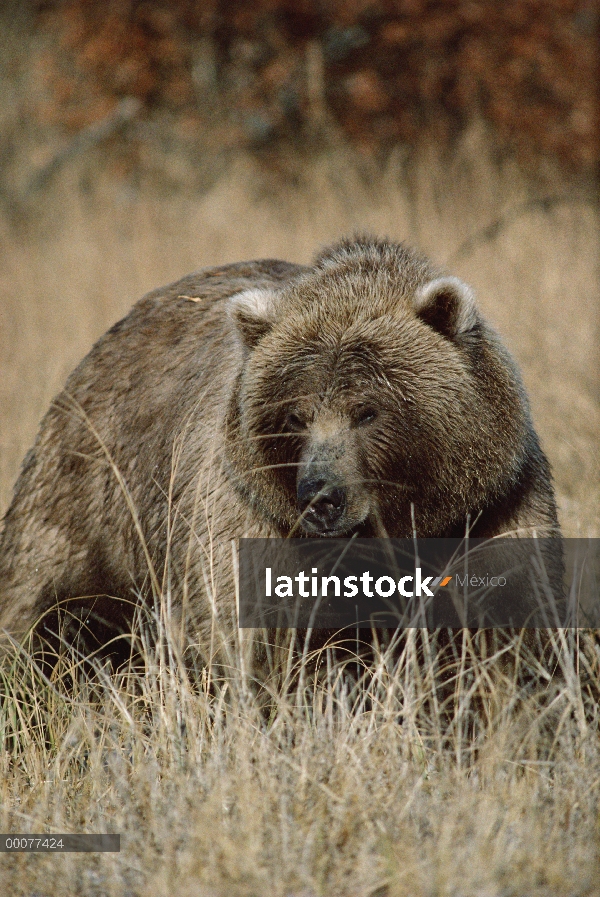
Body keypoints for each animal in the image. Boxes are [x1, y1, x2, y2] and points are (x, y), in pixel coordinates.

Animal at [0, 236, 560, 652]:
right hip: (90, 499)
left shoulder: (492, 513)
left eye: (367, 410)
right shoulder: (250, 521)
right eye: (295, 415)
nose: (320, 496)